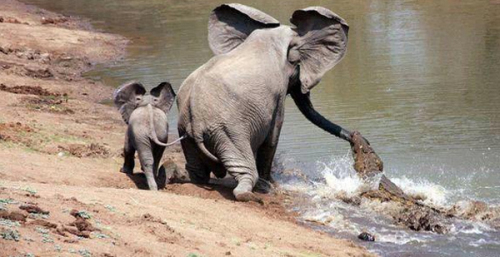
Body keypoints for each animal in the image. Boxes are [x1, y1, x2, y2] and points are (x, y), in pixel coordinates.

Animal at [178, 3, 354, 201]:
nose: (356, 138)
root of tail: (195, 118)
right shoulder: (277, 94)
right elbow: (272, 138)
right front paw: (273, 184)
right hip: (228, 131)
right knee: (245, 171)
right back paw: (253, 194)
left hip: (186, 131)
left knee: (196, 170)